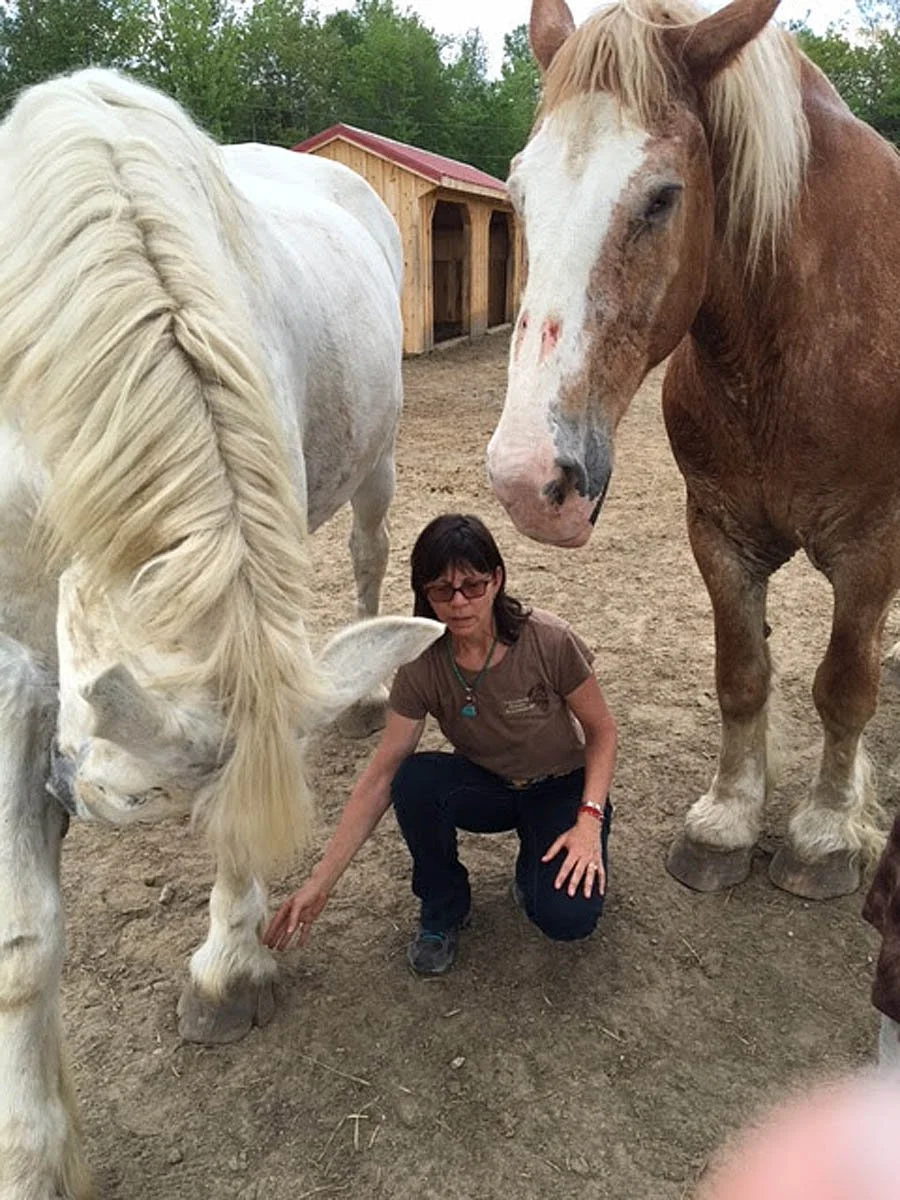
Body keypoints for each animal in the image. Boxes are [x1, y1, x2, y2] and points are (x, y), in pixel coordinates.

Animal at [0, 69, 442, 1198]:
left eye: (129, 801)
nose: (63, 796)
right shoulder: (13, 666)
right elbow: (23, 940)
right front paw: (34, 1156)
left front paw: (227, 977)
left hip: (376, 468)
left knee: (369, 555)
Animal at [487, 0, 900, 903]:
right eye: (519, 191)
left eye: (662, 197)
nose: (527, 479)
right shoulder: (718, 535)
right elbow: (741, 676)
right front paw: (726, 823)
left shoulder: (872, 550)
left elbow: (843, 686)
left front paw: (826, 833)